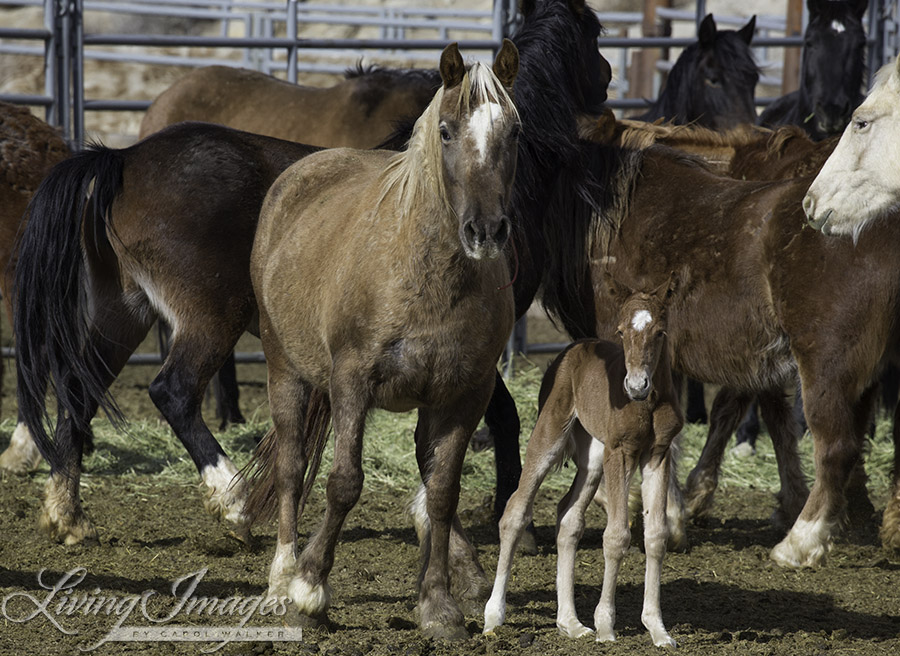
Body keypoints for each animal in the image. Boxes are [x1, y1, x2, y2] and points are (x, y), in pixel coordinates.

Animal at [246, 41, 520, 640]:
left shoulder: (464, 396)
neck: (426, 277)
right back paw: (280, 579)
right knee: (291, 467)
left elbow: (442, 492)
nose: (486, 230)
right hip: (286, 371)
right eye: (446, 130)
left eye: (514, 131)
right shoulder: (352, 381)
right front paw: (310, 588)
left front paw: (438, 605)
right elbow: (344, 482)